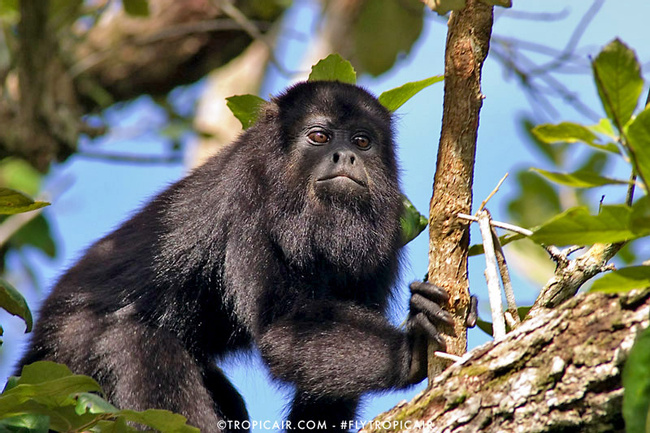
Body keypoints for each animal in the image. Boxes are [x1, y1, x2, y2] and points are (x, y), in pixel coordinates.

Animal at [16, 82, 450, 432]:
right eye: (319, 136)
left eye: (362, 141)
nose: (345, 156)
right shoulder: (248, 203)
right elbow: (282, 327)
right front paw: (408, 352)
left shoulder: (386, 236)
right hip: (66, 355)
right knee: (132, 343)